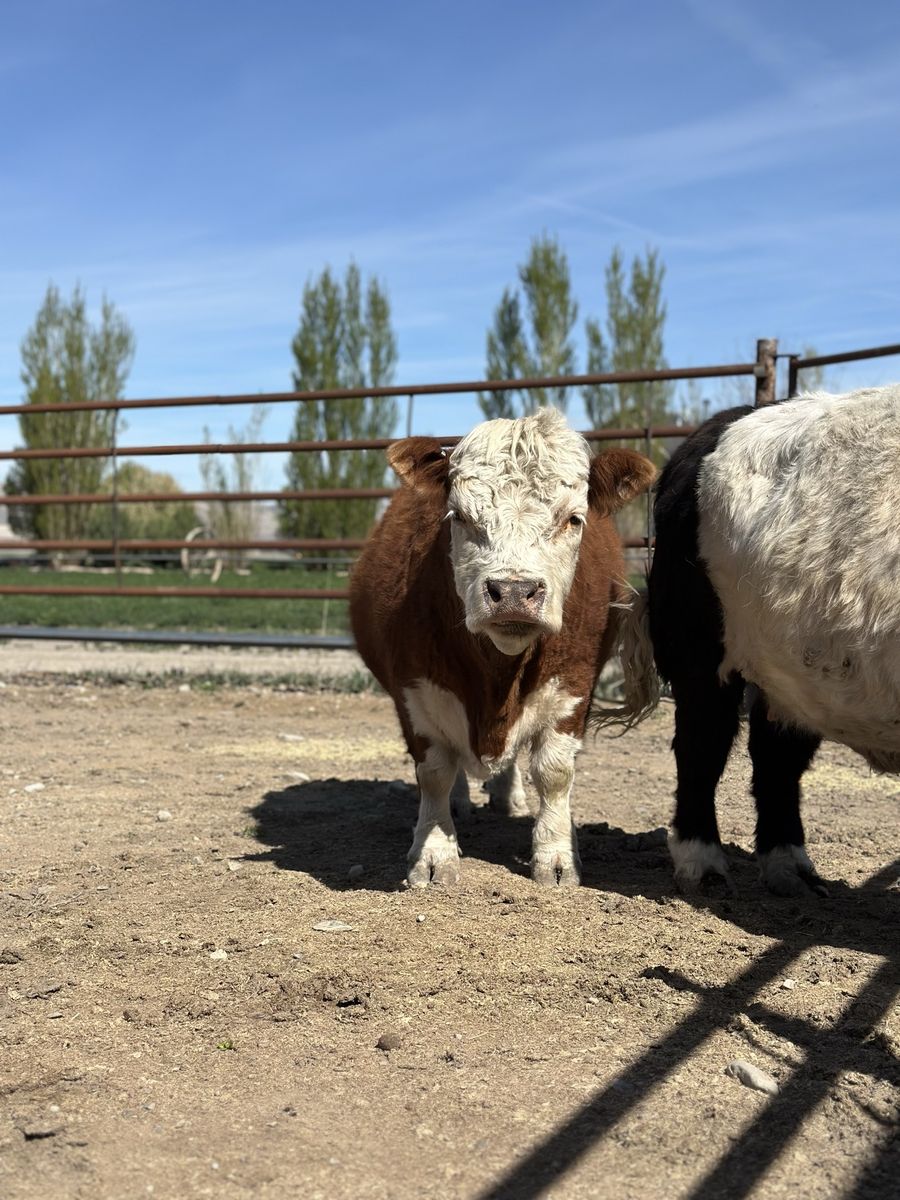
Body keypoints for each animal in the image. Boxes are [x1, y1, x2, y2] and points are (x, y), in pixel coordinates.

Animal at [349, 407, 655, 888]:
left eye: (573, 519)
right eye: (458, 515)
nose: (513, 591)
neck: (498, 676)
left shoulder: (574, 686)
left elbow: (554, 772)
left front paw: (556, 857)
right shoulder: (414, 692)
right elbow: (435, 772)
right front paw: (433, 854)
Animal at [607, 385, 900, 895]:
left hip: (795, 671)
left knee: (776, 757)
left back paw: (788, 863)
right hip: (701, 653)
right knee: (703, 746)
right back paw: (701, 860)